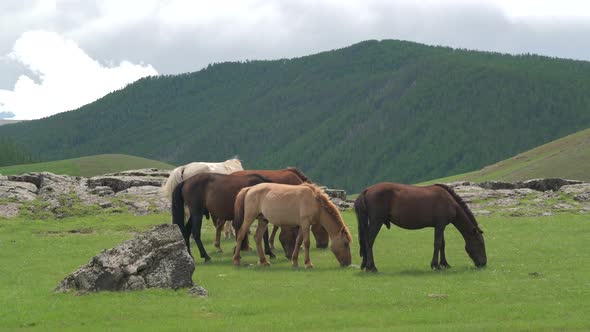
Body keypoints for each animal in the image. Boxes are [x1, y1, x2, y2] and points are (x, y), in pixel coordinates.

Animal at [354, 182, 488, 272]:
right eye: (481, 244)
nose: (483, 263)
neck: (450, 201)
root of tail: (367, 190)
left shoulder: (441, 226)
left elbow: (442, 244)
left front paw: (444, 264)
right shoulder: (440, 225)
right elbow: (437, 243)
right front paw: (435, 265)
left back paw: (365, 265)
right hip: (377, 222)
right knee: (369, 241)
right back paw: (371, 267)